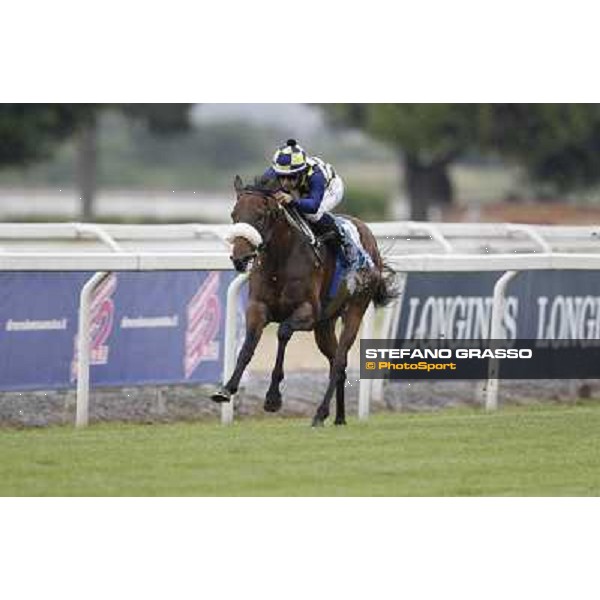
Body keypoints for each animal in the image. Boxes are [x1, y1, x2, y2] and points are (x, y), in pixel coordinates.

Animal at [211, 175, 398, 426]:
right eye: (234, 215)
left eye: (260, 216)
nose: (239, 259)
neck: (280, 260)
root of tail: (368, 235)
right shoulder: (257, 307)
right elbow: (248, 346)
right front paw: (226, 389)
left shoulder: (307, 312)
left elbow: (283, 332)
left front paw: (273, 398)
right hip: (325, 325)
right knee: (337, 363)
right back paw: (339, 417)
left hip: (354, 311)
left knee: (339, 361)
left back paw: (320, 413)